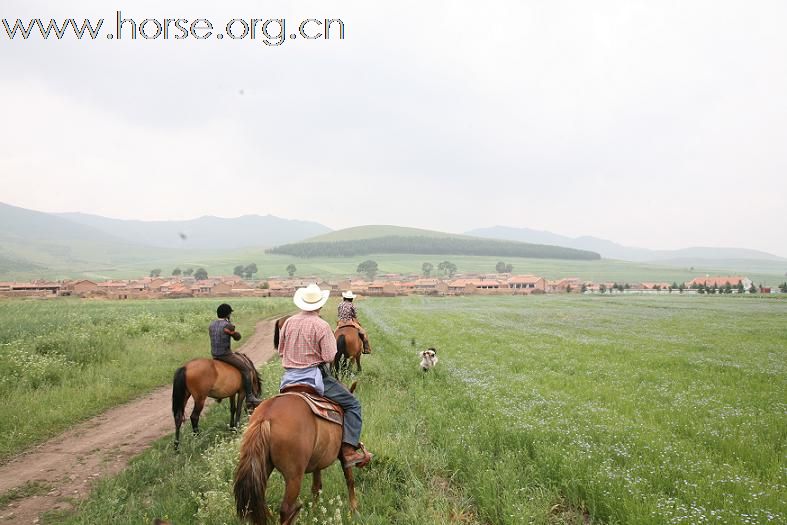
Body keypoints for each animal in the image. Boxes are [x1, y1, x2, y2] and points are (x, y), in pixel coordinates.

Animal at [232, 382, 358, 520]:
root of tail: (266, 416)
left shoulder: (317, 462)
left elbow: (317, 486)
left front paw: (314, 512)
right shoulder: (342, 455)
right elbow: (350, 479)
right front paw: (354, 511)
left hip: (263, 467)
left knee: (260, 502)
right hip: (294, 476)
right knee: (286, 509)